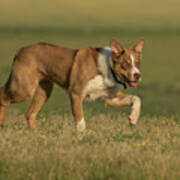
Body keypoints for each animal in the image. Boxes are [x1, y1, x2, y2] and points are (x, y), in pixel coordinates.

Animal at [0, 39, 145, 131]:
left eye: (137, 63)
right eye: (125, 64)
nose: (137, 75)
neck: (108, 67)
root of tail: (20, 50)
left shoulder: (110, 98)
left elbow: (137, 99)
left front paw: (133, 118)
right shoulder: (76, 93)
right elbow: (80, 120)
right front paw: (81, 138)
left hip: (44, 91)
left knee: (30, 113)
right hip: (24, 88)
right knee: (3, 97)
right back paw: (1, 125)